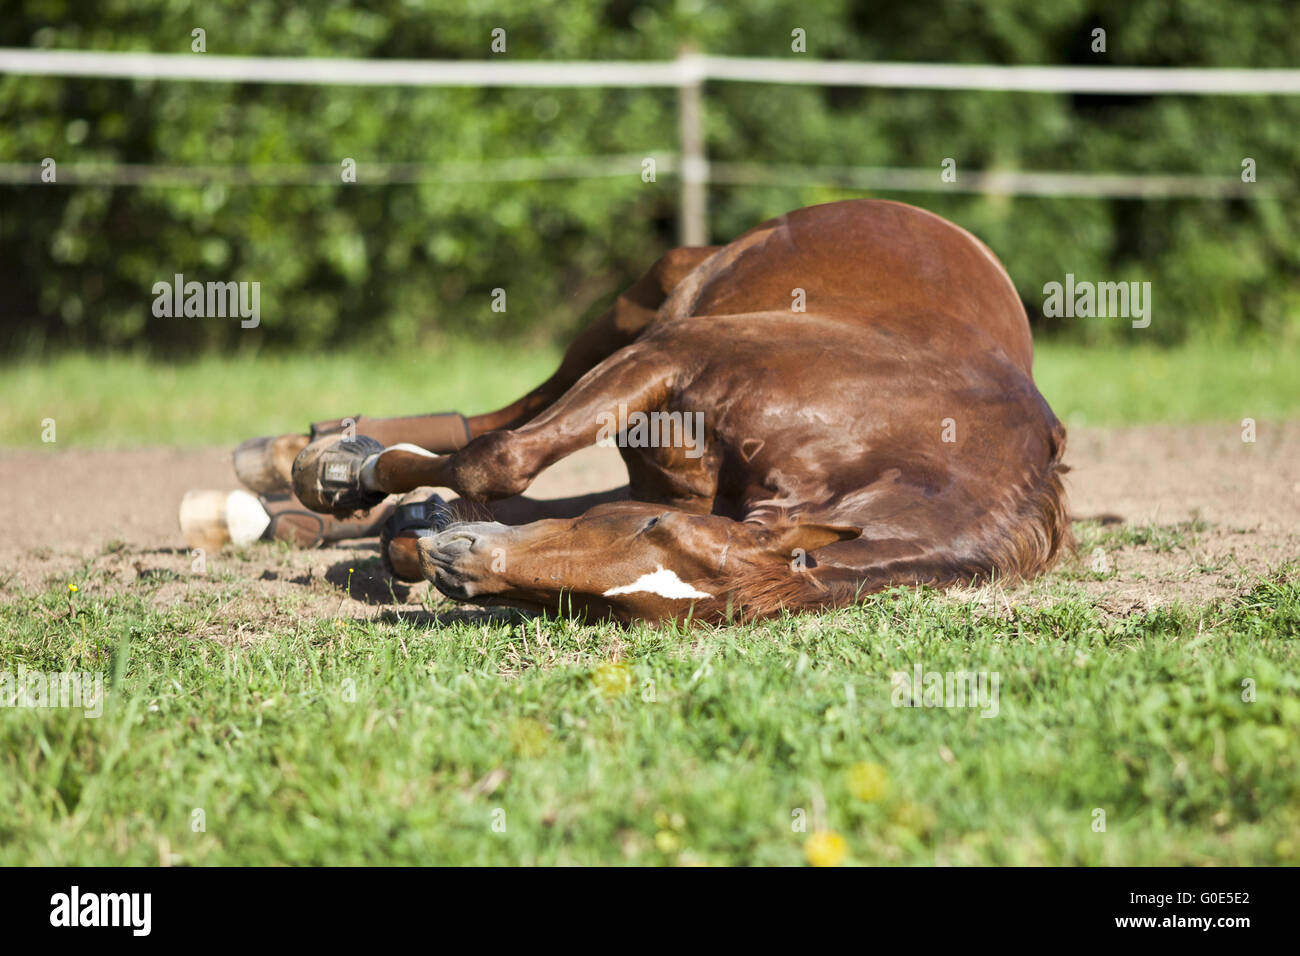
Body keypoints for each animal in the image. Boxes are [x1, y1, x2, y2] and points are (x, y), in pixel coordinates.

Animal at [185, 197, 1076, 624]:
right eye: (655, 536)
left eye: (624, 612)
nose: (464, 571)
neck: (899, 432)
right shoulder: (671, 357)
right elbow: (502, 458)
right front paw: (347, 473)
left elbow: (496, 495)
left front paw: (418, 534)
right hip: (642, 306)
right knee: (509, 416)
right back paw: (304, 463)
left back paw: (297, 510)